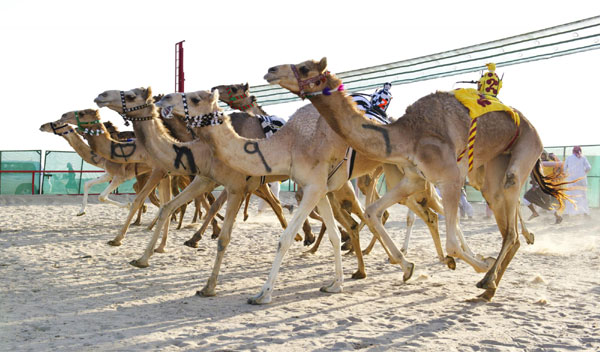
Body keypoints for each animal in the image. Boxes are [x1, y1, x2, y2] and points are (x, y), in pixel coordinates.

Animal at [264, 57, 572, 300]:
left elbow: (451, 241)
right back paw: (489, 283)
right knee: (505, 222)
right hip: (489, 171)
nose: (270, 70)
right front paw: (407, 266)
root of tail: (528, 123)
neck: (405, 135)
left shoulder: (449, 177)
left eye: (304, 67)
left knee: (510, 221)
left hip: (525, 150)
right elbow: (373, 211)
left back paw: (488, 279)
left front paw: (475, 263)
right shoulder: (413, 178)